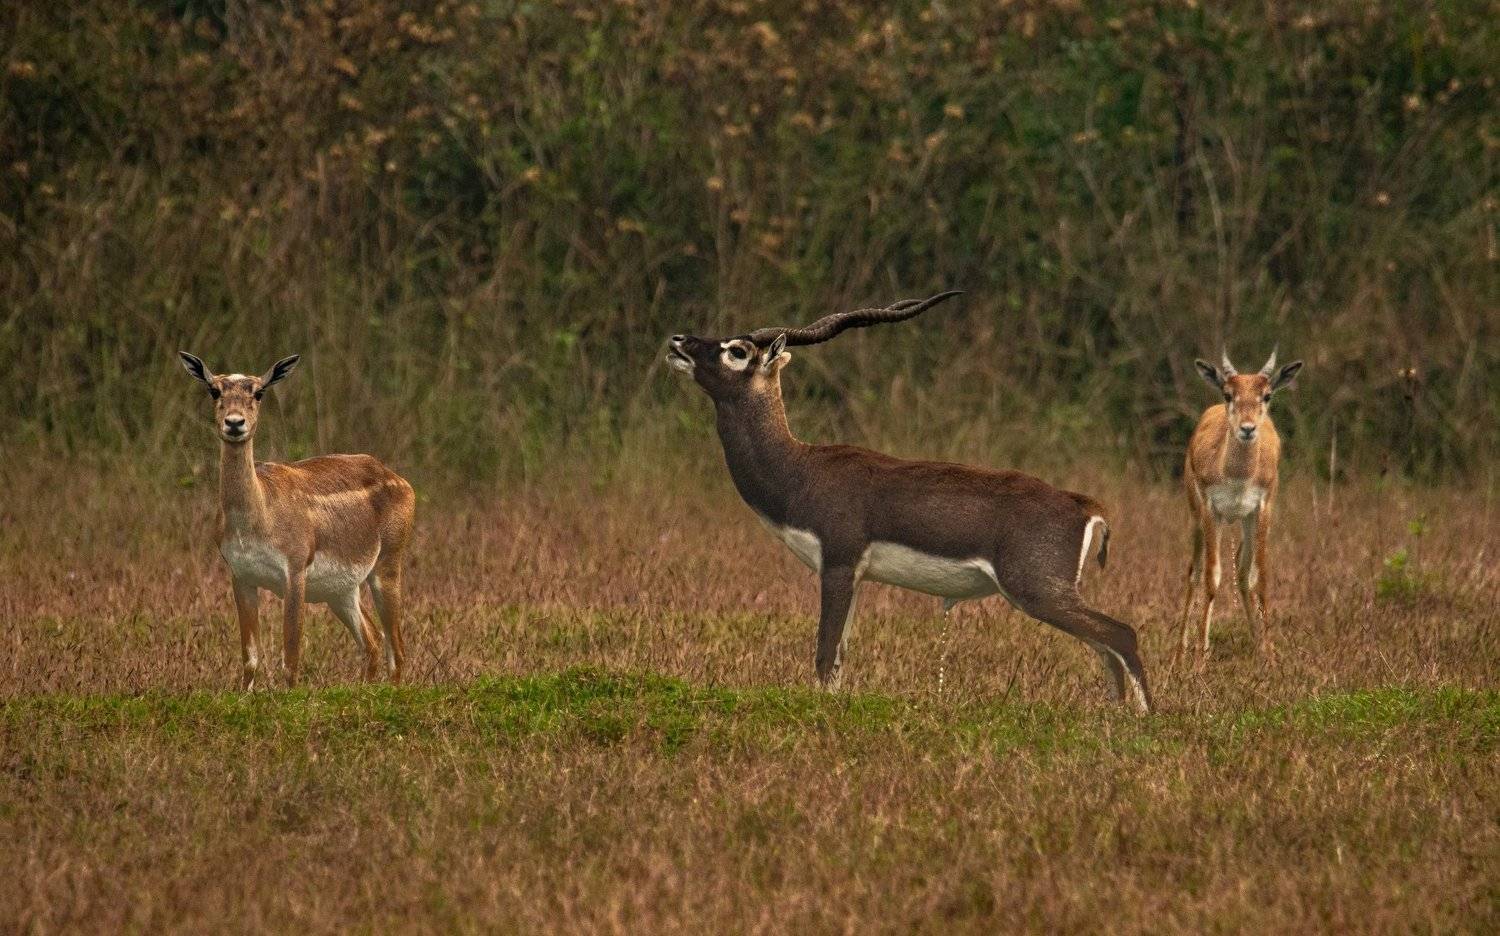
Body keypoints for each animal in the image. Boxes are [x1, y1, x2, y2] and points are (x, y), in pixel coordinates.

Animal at [178, 352, 415, 688]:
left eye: (259, 392)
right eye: (214, 390)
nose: (235, 423)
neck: (258, 519)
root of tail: (403, 482)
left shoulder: (295, 569)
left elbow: (290, 657)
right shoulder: (241, 574)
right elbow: (250, 657)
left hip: (388, 564)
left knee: (397, 647)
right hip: (341, 589)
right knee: (372, 639)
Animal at [666, 293, 1151, 712]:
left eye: (737, 351)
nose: (678, 341)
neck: (800, 468)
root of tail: (1083, 505)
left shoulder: (838, 563)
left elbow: (823, 655)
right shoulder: (855, 576)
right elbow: (838, 658)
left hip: (1037, 590)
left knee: (1122, 635)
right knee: (1105, 648)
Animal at [1176, 348, 1303, 664]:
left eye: (1267, 395)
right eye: (1228, 393)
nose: (1247, 429)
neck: (1237, 474)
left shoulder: (1262, 508)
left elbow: (1260, 577)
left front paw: (1270, 656)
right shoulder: (1212, 510)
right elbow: (1212, 577)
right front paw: (1200, 660)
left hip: (1245, 520)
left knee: (1242, 569)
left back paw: (1258, 647)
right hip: (1197, 518)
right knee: (1194, 572)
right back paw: (1180, 655)